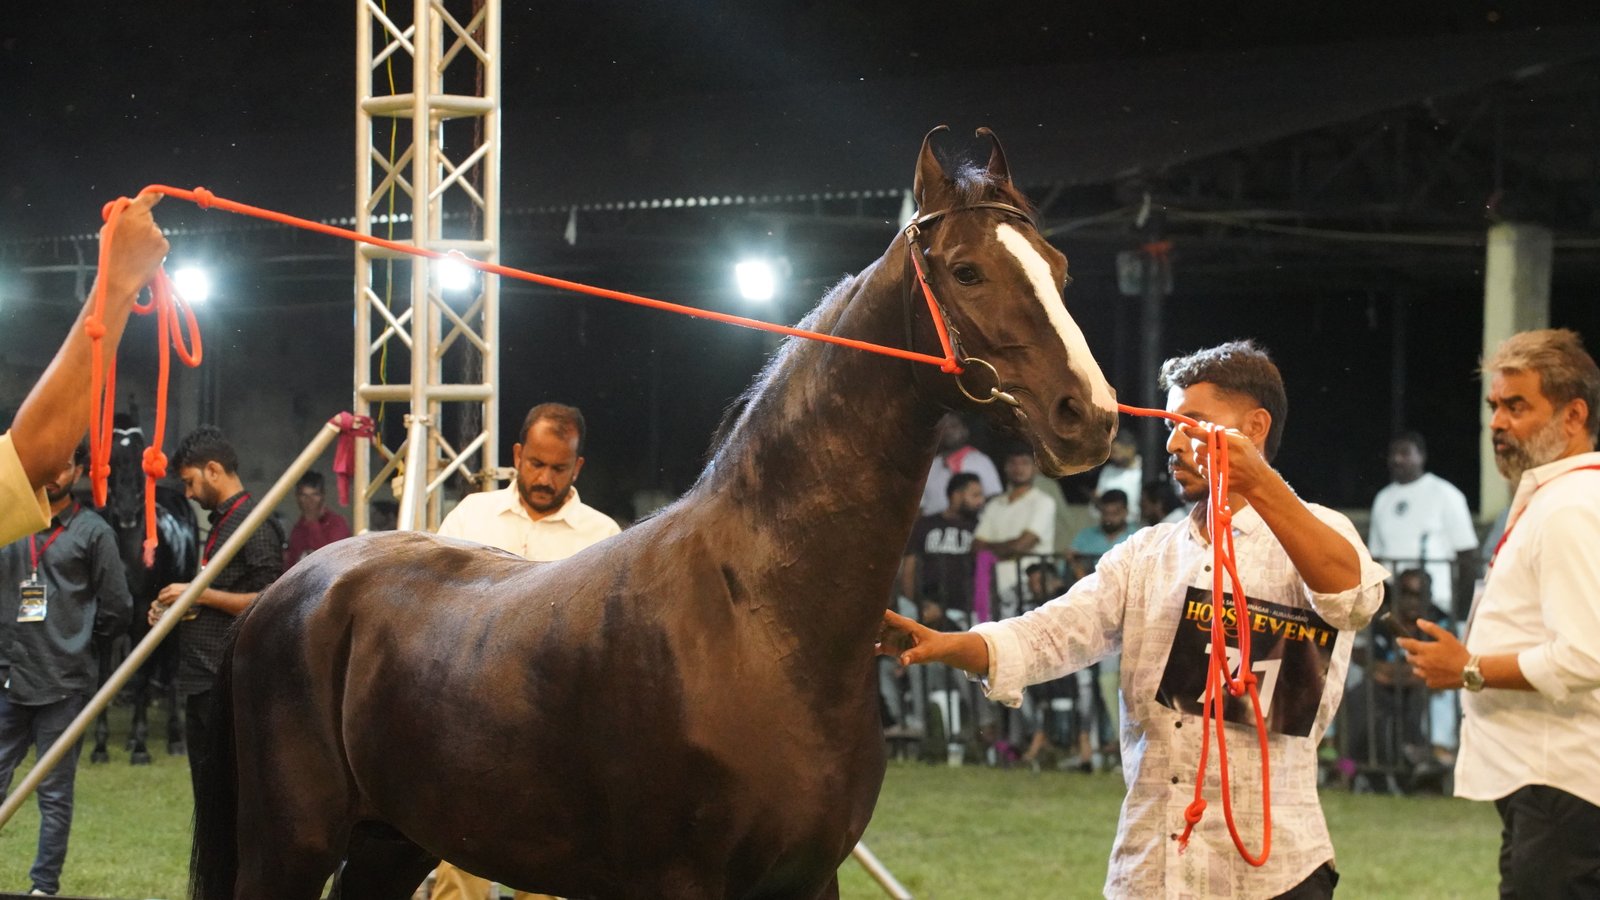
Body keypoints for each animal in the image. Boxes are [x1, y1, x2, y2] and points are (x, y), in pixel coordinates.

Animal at [91, 419, 199, 764]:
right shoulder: (106, 617)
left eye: (141, 461)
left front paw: (140, 747)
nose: (126, 512)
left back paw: (174, 737)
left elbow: (138, 674)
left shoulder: (141, 611)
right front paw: (100, 746)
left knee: (173, 667)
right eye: (111, 461)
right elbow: (104, 676)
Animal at [189, 126, 1120, 900]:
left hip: (392, 842)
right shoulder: (678, 883)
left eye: (1059, 268)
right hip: (291, 846)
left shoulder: (807, 879)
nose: (1091, 415)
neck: (762, 622)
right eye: (967, 270)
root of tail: (280, 598)